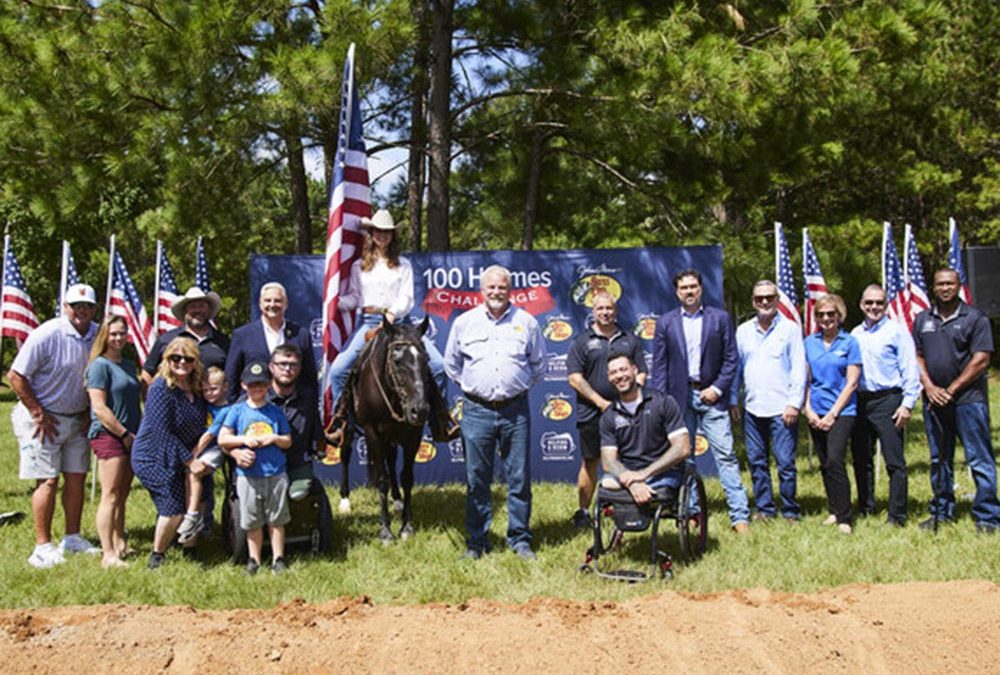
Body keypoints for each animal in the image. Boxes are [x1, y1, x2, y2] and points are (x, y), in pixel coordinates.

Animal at [332, 316, 430, 544]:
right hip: (350, 427)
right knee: (345, 454)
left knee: (391, 460)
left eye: (426, 359)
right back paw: (345, 500)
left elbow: (407, 477)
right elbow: (381, 479)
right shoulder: (372, 432)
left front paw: (406, 526)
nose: (420, 410)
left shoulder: (414, 434)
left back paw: (397, 499)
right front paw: (386, 531)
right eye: (397, 360)